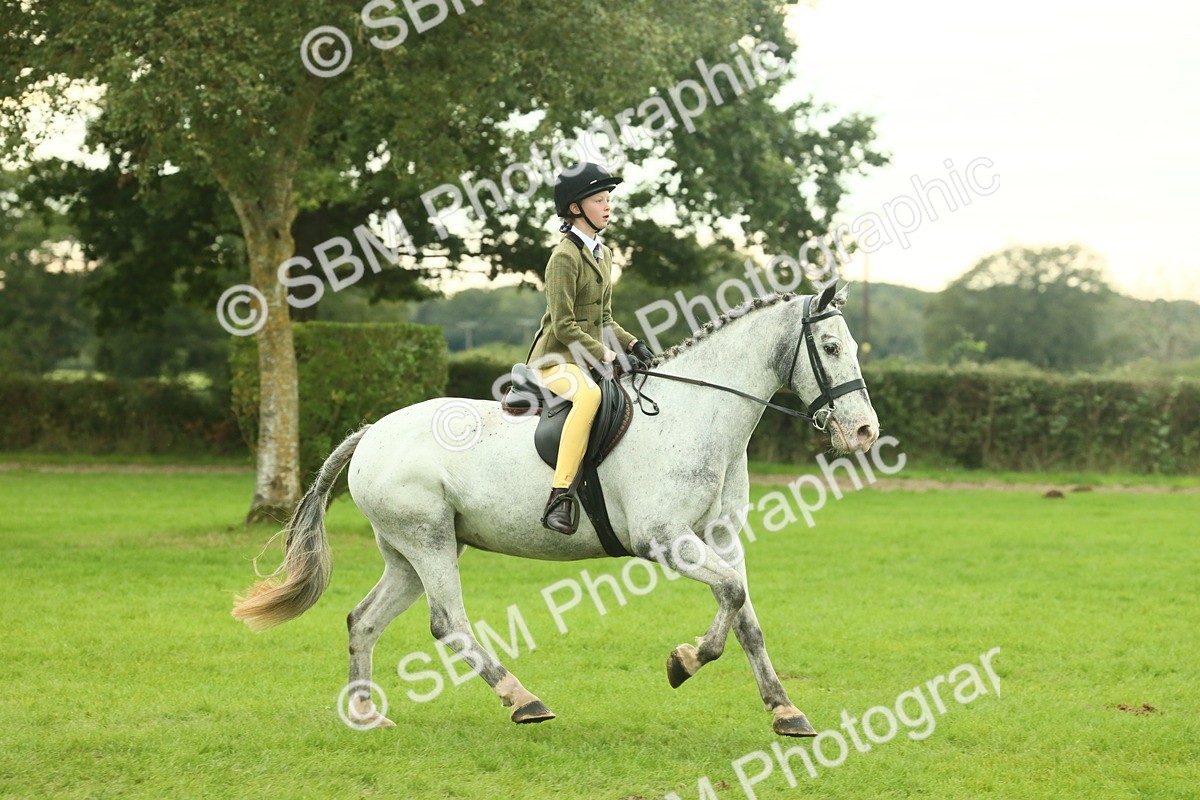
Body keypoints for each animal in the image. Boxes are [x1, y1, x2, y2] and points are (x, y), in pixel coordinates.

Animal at [233, 283, 879, 737]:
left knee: (364, 620)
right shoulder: (664, 539)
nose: (865, 431)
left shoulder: (719, 538)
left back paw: (366, 714)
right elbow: (730, 596)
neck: (699, 413)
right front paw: (684, 662)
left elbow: (744, 613)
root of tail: (371, 432)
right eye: (829, 348)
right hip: (428, 541)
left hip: (408, 551)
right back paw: (524, 701)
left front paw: (785, 711)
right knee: (449, 624)